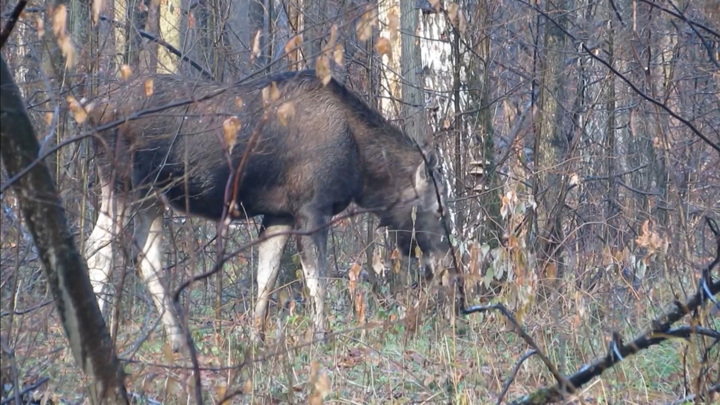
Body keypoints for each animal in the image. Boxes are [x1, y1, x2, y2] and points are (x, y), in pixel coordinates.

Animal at [84, 68, 450, 348]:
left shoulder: (280, 213)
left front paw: (256, 338)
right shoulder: (312, 207)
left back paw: (178, 341)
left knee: (148, 258)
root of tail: (91, 105)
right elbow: (316, 279)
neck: (362, 170)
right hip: (120, 181)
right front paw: (321, 337)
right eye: (439, 209)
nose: (443, 263)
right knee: (98, 251)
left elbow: (267, 276)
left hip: (151, 197)